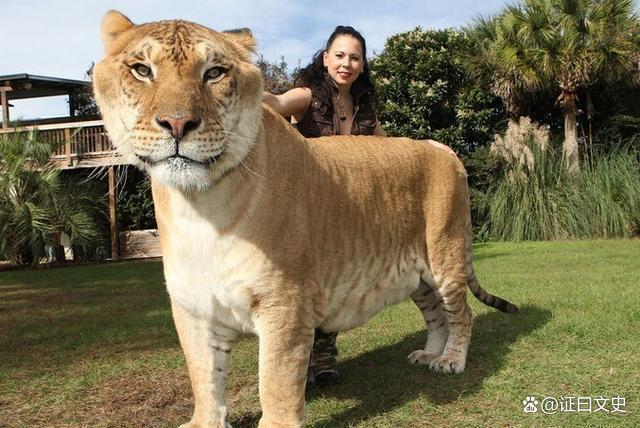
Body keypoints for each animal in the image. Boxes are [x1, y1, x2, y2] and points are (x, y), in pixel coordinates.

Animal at [92, 10, 516, 428]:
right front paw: (204, 420)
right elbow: (203, 377)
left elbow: (276, 381)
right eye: (141, 70)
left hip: (445, 257)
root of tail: (444, 151)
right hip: (418, 274)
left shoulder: (286, 304)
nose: (177, 124)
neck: (199, 205)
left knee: (461, 315)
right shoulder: (193, 305)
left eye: (214, 73)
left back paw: (450, 360)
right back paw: (430, 354)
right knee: (436, 315)